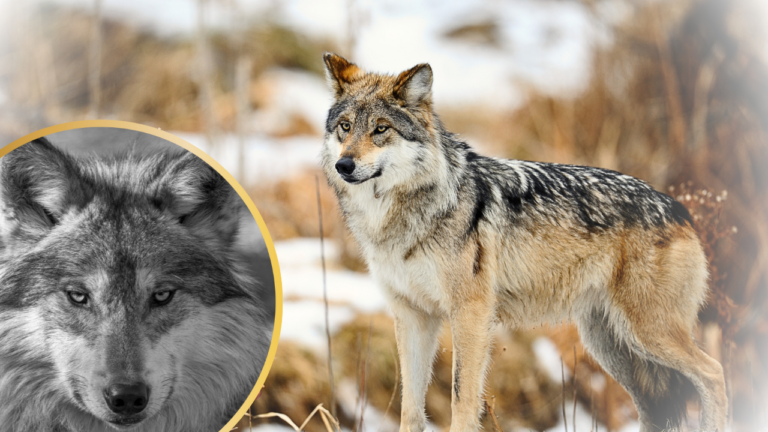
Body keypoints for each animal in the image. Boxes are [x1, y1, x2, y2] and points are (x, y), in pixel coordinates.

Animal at [321, 53, 727, 432]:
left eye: (380, 129)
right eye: (345, 127)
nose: (344, 165)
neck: (398, 219)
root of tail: (679, 208)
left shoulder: (470, 313)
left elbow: (461, 399)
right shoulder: (412, 316)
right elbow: (410, 407)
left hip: (648, 335)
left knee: (714, 373)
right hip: (612, 347)